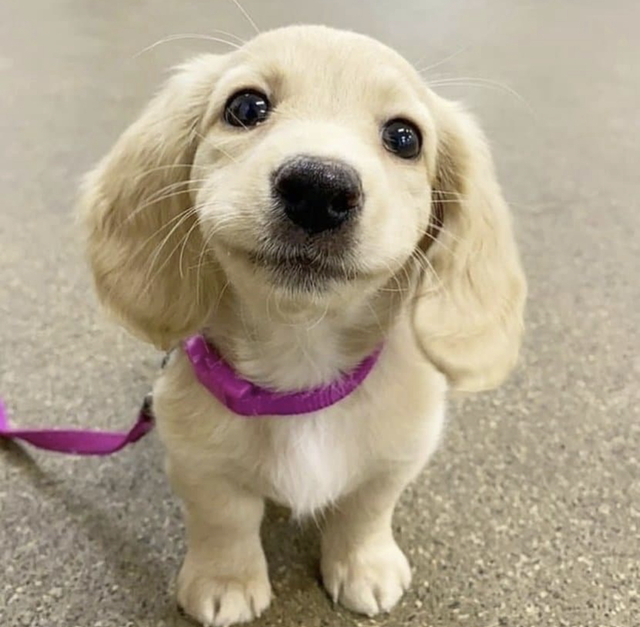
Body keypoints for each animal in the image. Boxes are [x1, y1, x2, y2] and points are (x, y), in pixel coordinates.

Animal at [79, 25, 526, 627]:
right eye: (246, 107)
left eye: (404, 138)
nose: (319, 187)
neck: (301, 362)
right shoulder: (199, 463)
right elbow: (224, 519)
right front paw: (226, 581)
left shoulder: (398, 457)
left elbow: (366, 509)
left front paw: (365, 566)